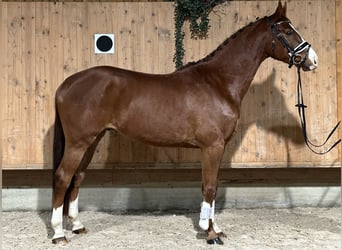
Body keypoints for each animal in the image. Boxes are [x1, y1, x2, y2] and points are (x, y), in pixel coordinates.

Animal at [51, 1, 318, 244]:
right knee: (63, 176)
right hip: (78, 143)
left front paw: (215, 228)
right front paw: (209, 234)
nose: (312, 60)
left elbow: (213, 186)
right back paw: (58, 234)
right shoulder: (212, 146)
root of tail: (66, 84)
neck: (218, 83)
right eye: (287, 31)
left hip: (92, 140)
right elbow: (209, 187)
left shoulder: (216, 148)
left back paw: (77, 226)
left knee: (78, 176)